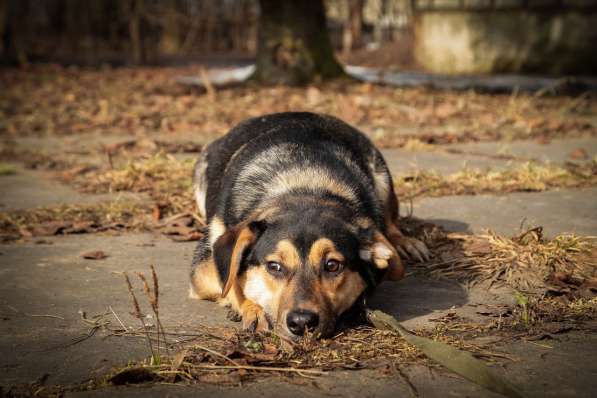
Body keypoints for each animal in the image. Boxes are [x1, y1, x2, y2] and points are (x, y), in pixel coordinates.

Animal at [191, 112, 428, 338]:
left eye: (332, 265)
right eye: (274, 267)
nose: (302, 323)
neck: (305, 187)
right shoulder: (203, 267)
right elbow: (230, 282)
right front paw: (253, 310)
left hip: (381, 176)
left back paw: (406, 243)